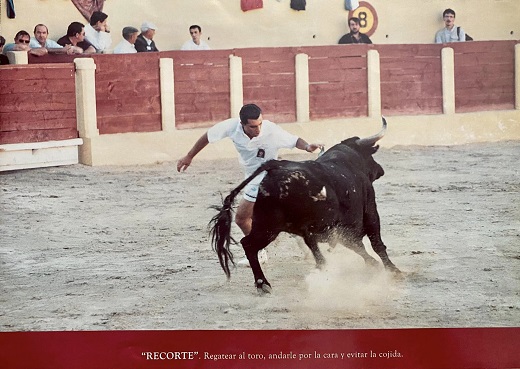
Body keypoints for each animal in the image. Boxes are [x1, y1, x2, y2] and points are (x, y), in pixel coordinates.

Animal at [209, 118, 400, 294]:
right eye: (370, 156)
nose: (380, 170)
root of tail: (274, 166)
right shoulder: (369, 212)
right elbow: (376, 243)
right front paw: (393, 270)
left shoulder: (341, 229)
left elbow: (358, 246)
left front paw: (374, 264)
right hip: (288, 226)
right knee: (310, 248)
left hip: (267, 226)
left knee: (249, 244)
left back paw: (262, 284)